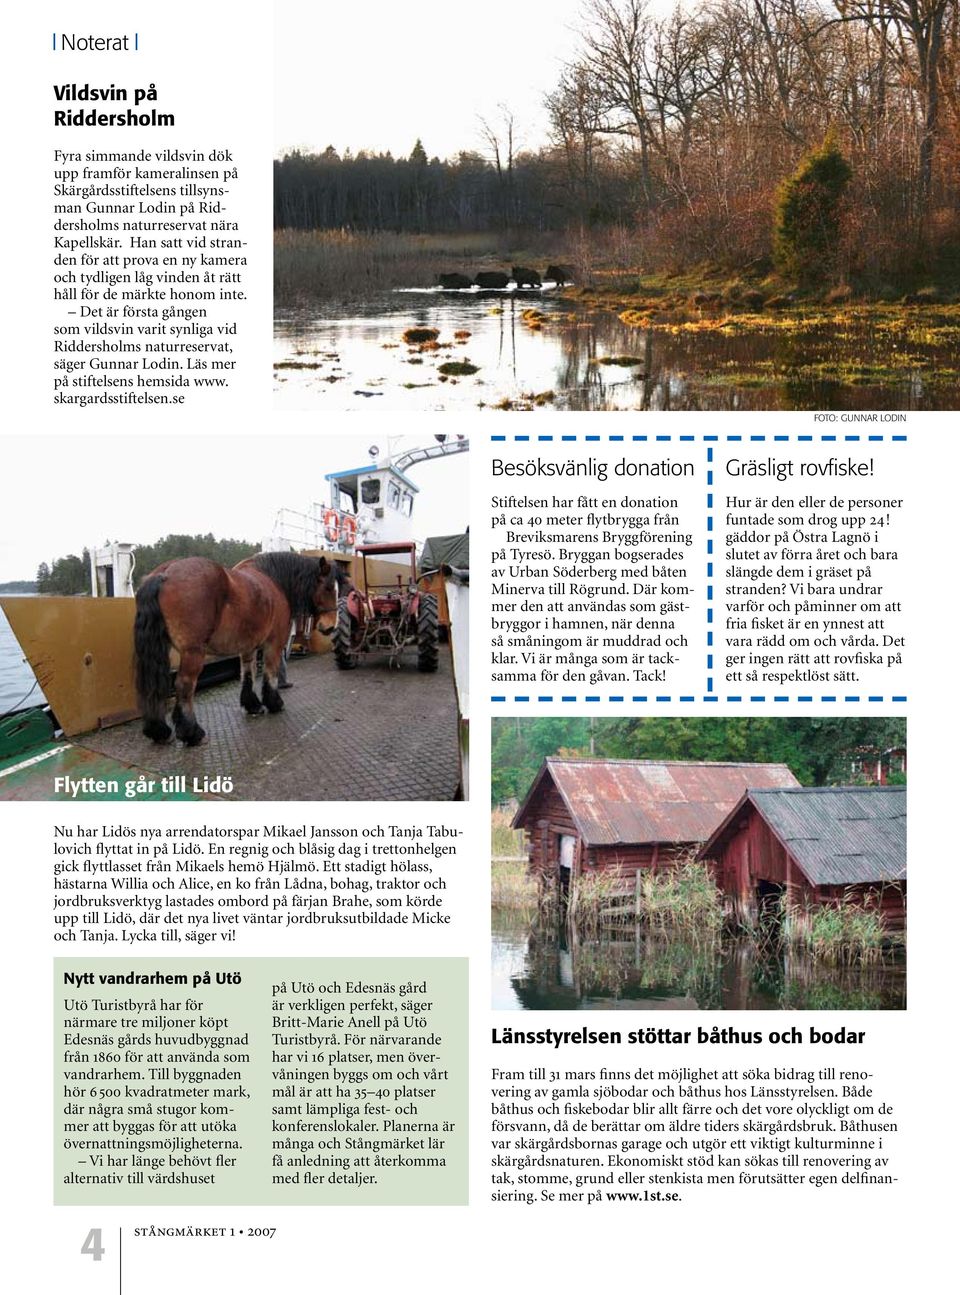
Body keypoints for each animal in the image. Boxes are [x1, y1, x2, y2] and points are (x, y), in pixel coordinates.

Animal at [132, 549, 347, 751]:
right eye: (328, 587)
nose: (330, 626)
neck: (274, 580)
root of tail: (165, 573)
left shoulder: (248, 646)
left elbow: (247, 673)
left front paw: (252, 704)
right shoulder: (274, 644)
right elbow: (271, 673)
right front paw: (274, 703)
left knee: (153, 683)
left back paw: (159, 731)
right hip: (193, 652)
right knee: (184, 685)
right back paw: (192, 733)